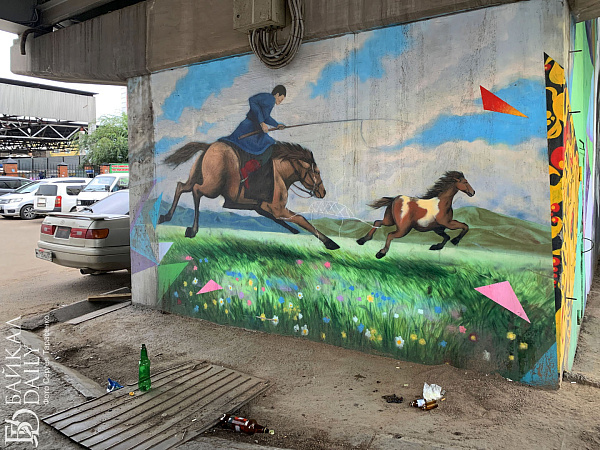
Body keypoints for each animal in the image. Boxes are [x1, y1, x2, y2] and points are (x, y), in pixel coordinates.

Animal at [158, 140, 340, 250]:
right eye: (316, 172)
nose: (323, 192)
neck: (279, 173)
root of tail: (208, 146)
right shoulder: (277, 208)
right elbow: (301, 219)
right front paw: (330, 242)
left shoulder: (261, 207)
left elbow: (282, 220)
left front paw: (293, 230)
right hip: (212, 187)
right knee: (196, 191)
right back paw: (192, 229)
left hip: (198, 177)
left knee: (181, 187)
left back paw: (165, 217)